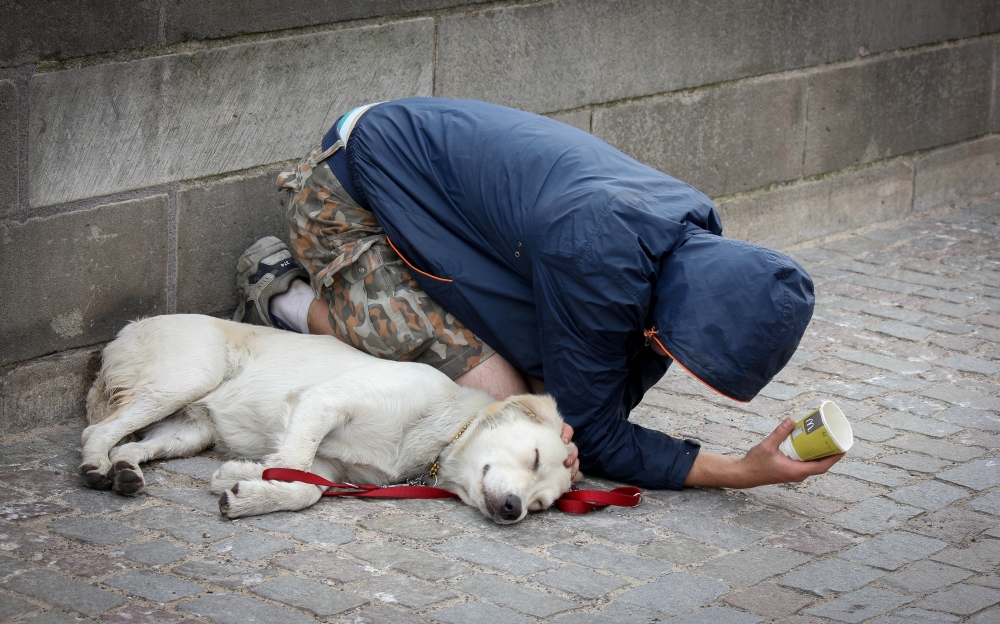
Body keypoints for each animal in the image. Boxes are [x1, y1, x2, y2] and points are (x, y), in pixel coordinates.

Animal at [80, 314, 572, 524]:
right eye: (532, 458)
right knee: (98, 429)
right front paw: (247, 476)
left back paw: (124, 473)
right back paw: (95, 466)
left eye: (540, 505)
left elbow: (305, 487)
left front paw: (246, 487)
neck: (438, 431)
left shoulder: (332, 467)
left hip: (190, 429)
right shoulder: (324, 401)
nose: (513, 511)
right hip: (188, 377)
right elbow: (293, 462)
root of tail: (127, 330)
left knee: (130, 443)